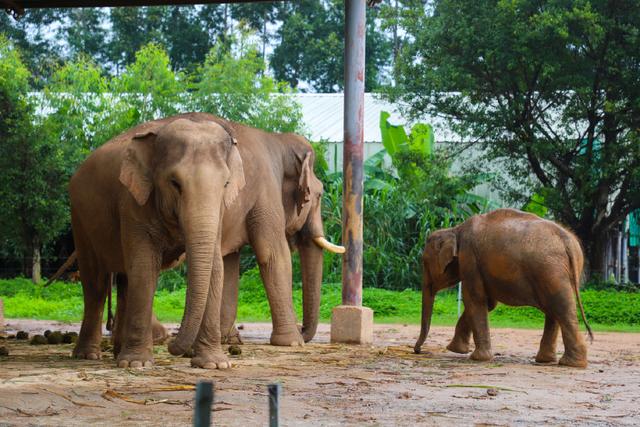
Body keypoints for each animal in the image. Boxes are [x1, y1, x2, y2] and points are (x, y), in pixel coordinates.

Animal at [70, 118, 244, 372]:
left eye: (226, 183)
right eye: (175, 183)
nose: (172, 347)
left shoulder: (220, 212)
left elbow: (216, 269)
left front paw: (215, 365)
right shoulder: (133, 201)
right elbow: (144, 266)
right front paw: (137, 364)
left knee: (124, 280)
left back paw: (116, 353)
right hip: (79, 219)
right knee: (96, 283)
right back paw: (88, 355)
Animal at [416, 209, 596, 370]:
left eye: (424, 262)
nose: (418, 351)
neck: (454, 229)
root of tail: (568, 241)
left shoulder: (470, 259)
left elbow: (475, 300)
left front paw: (475, 357)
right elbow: (488, 304)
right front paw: (456, 350)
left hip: (550, 271)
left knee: (561, 309)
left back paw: (570, 364)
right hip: (559, 273)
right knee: (554, 309)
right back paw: (547, 360)